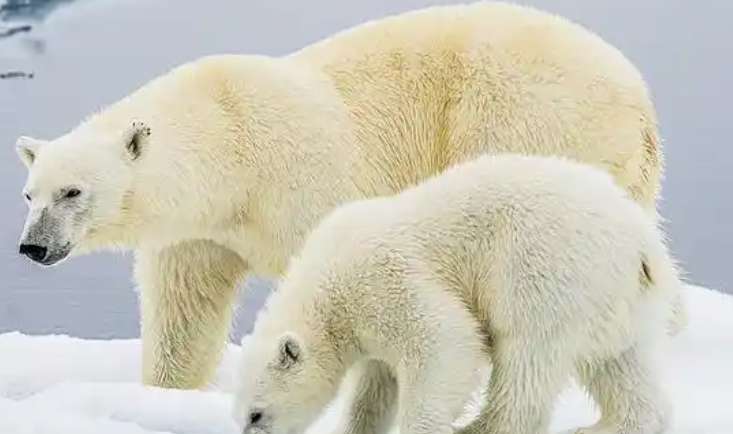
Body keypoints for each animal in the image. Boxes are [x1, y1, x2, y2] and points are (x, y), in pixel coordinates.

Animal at [14, 1, 685, 391]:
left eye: (73, 191)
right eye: (29, 194)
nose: (32, 247)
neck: (230, 145)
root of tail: (639, 97)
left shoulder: (301, 176)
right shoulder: (200, 231)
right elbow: (185, 310)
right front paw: (168, 388)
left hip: (527, 117)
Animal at [232, 154, 679, 434]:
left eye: (256, 415)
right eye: (242, 416)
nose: (248, 425)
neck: (325, 283)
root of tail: (643, 244)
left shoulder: (383, 277)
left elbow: (444, 338)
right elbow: (373, 389)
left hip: (545, 269)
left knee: (527, 357)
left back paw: (479, 427)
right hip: (614, 297)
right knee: (621, 362)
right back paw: (608, 425)